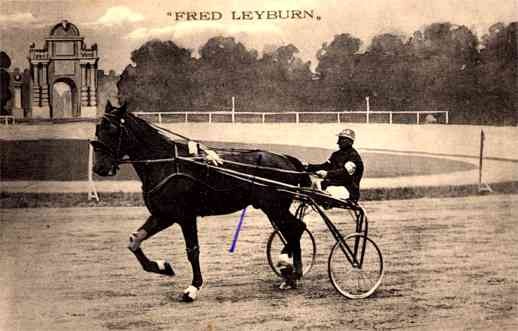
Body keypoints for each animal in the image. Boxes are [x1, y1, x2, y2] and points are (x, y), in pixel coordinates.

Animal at [92, 102, 312, 302]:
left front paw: (192, 288)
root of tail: (288, 159)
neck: (168, 164)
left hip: (274, 206)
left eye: (112, 129)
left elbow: (193, 251)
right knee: (294, 229)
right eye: (97, 128)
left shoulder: (185, 216)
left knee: (296, 228)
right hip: (273, 208)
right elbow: (134, 241)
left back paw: (288, 268)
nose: (99, 167)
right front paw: (163, 267)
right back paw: (292, 274)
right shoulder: (163, 215)